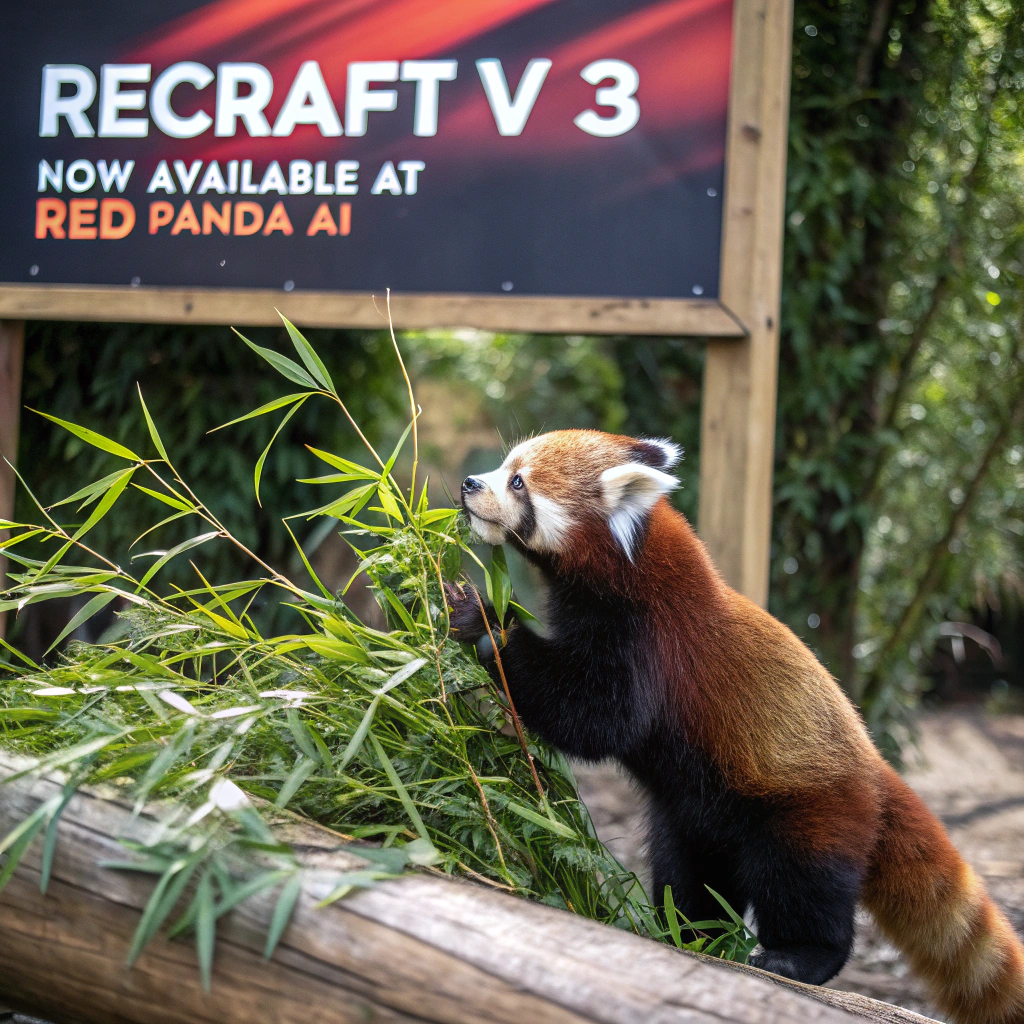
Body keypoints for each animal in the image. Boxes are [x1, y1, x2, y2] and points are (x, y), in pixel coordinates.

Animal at [446, 428, 1024, 1024]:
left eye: (517, 482)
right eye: (502, 467)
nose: (469, 484)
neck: (633, 567)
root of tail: (875, 768)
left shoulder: (652, 643)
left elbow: (597, 718)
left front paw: (484, 621)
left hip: (811, 810)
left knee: (803, 885)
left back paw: (800, 957)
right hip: (696, 814)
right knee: (692, 872)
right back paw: (688, 930)